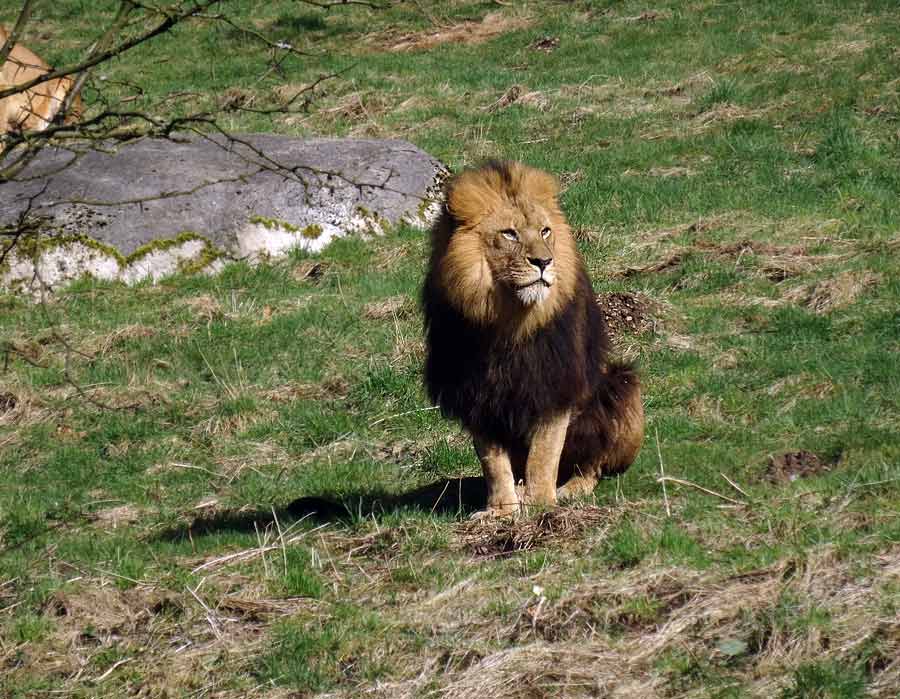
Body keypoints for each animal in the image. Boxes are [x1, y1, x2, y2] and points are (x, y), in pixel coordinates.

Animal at [424, 161, 644, 516]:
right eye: (509, 233)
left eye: (545, 231)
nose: (543, 261)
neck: (508, 323)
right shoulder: (478, 396)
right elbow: (493, 463)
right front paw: (501, 511)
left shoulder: (555, 386)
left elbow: (544, 454)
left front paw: (541, 505)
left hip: (621, 385)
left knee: (592, 465)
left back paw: (568, 490)